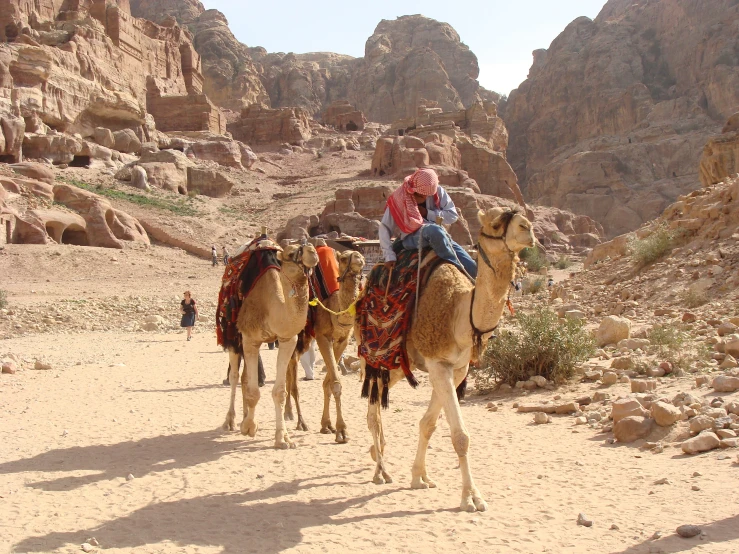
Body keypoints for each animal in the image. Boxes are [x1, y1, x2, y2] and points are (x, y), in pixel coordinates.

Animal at [224, 243, 320, 448]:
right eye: (291, 253)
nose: (312, 251)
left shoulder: (287, 340)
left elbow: (280, 392)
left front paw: (283, 438)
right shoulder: (250, 338)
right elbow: (253, 391)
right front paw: (249, 428)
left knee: (244, 377)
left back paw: (244, 417)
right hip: (234, 338)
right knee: (234, 376)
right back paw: (230, 421)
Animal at [284, 249, 366, 440]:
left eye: (360, 256)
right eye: (343, 258)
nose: (359, 258)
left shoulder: (342, 340)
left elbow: (328, 382)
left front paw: (327, 425)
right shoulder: (323, 337)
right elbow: (335, 383)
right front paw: (342, 431)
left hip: (304, 340)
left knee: (292, 365)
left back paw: (290, 413)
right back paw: (297, 420)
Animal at [362, 209, 536, 512]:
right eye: (495, 223)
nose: (529, 229)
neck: (460, 316)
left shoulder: (456, 369)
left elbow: (428, 424)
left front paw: (420, 477)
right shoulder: (438, 363)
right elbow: (460, 436)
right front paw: (471, 497)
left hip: (398, 366)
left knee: (380, 402)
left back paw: (379, 455)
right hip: (372, 356)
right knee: (372, 412)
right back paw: (381, 471)